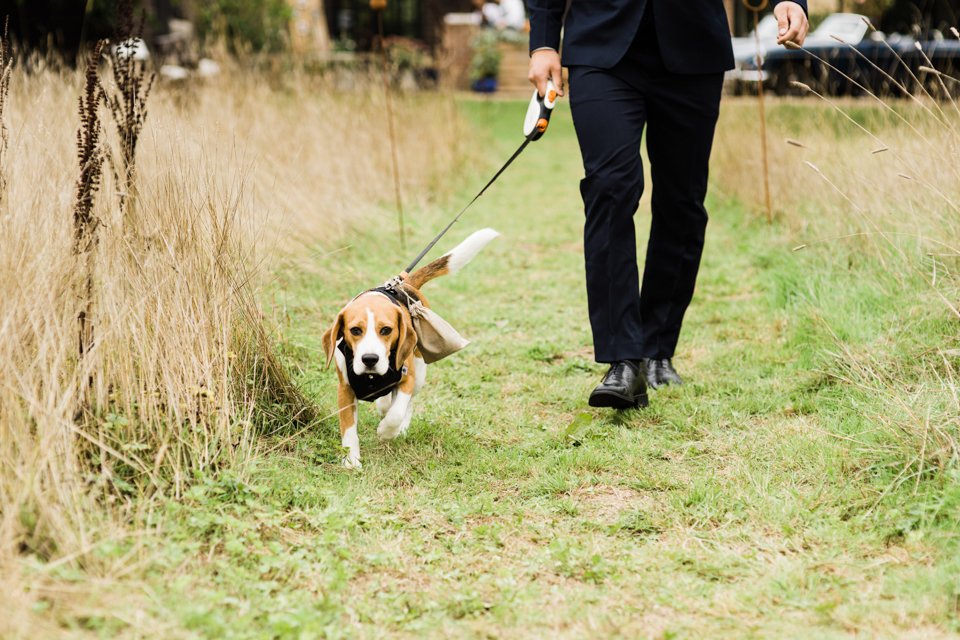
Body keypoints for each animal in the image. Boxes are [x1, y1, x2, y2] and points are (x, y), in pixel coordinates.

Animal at [324, 228, 502, 468]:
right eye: (355, 330)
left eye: (386, 330)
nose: (370, 359)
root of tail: (404, 284)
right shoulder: (344, 389)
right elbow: (348, 428)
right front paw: (351, 461)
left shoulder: (407, 378)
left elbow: (397, 412)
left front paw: (387, 431)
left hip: (418, 373)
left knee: (407, 404)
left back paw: (399, 427)